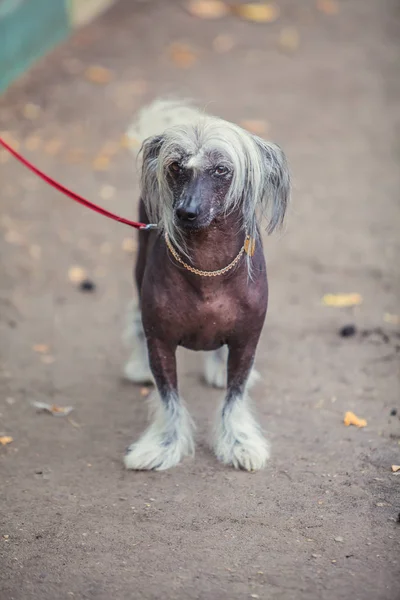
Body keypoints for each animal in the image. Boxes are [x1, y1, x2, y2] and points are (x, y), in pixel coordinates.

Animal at [123, 101, 290, 472]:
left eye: (221, 170)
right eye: (176, 166)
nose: (185, 212)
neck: (208, 269)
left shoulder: (246, 341)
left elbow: (235, 397)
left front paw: (239, 443)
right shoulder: (160, 343)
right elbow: (169, 398)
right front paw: (162, 445)